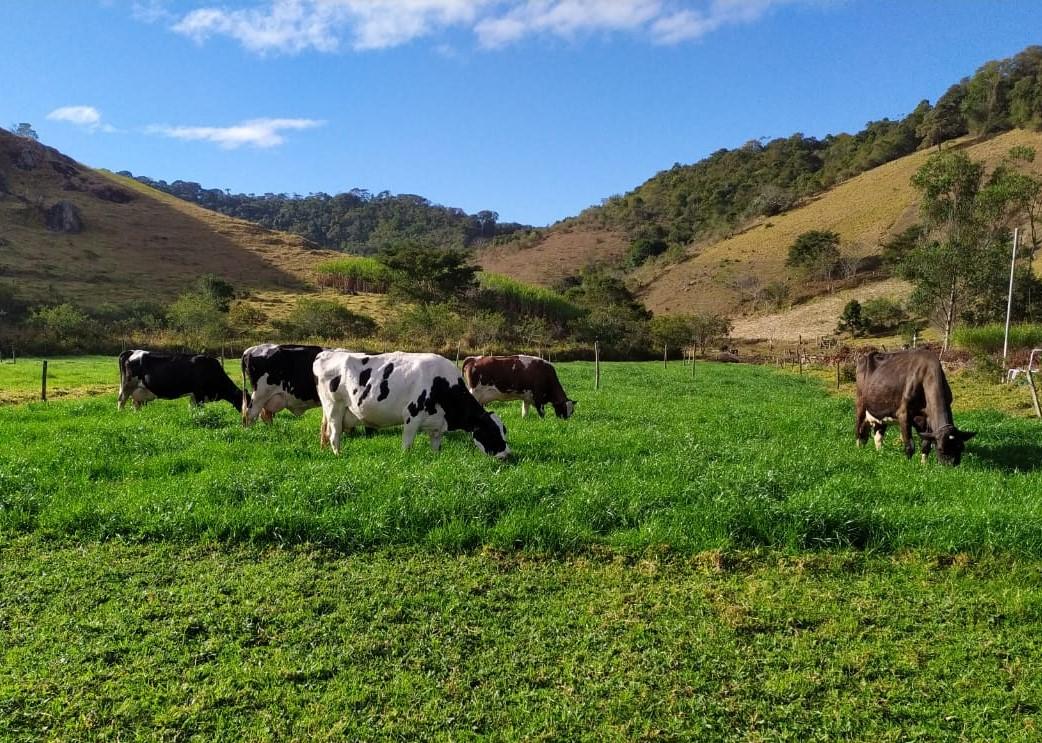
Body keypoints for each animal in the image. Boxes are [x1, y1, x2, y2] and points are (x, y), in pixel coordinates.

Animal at [316, 348, 512, 458]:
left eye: (504, 430)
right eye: (490, 431)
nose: (506, 455)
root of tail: (326, 353)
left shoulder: (437, 425)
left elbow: (436, 448)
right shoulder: (412, 416)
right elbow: (407, 446)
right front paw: (405, 461)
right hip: (334, 408)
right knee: (334, 436)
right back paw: (339, 456)